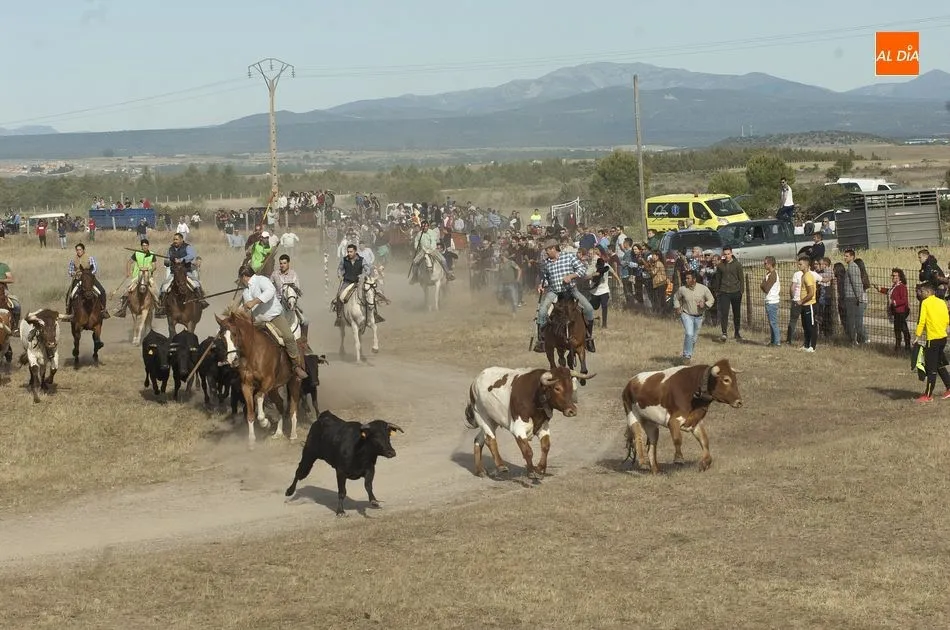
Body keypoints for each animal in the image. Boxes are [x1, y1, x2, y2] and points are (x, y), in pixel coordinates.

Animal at [215, 308, 303, 449]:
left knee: (293, 409)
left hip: (294, 382)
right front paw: (251, 440)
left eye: (234, 333)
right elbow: (250, 413)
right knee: (279, 404)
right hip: (274, 389)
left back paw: (293, 436)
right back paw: (278, 433)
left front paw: (265, 422)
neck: (253, 352)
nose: (232, 359)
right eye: (222, 337)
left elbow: (258, 397)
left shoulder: (267, 381)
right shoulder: (246, 385)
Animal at [464, 366, 596, 480]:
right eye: (557, 388)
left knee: (479, 439)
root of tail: (476, 380)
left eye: (571, 387)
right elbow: (528, 451)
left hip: (493, 420)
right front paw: (532, 471)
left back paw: (479, 470)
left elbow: (545, 447)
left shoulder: (543, 426)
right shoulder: (518, 428)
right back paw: (501, 466)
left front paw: (540, 468)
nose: (572, 411)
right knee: (490, 440)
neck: (536, 396)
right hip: (482, 416)